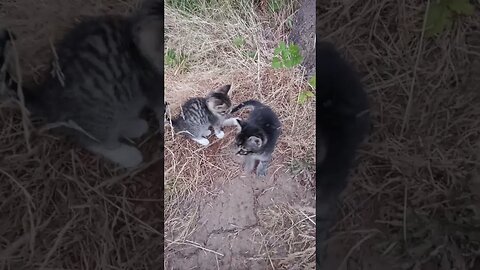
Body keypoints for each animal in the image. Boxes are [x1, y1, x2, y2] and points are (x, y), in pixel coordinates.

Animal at [0, 0, 163, 168]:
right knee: (93, 141)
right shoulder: (153, 85)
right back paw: (128, 155)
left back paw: (133, 126)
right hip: (103, 107)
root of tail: (47, 98)